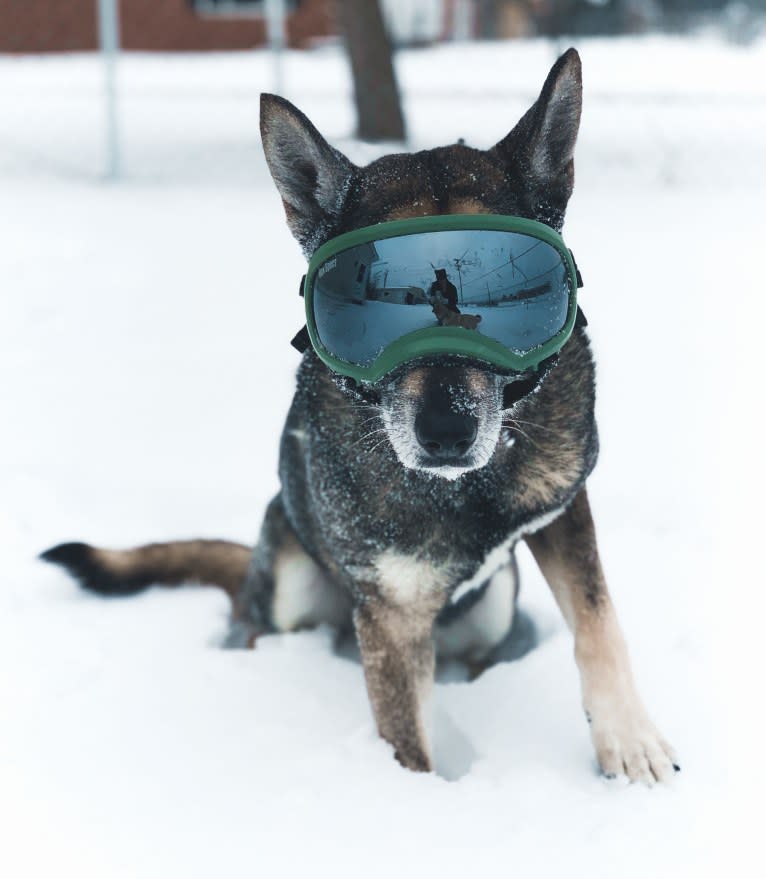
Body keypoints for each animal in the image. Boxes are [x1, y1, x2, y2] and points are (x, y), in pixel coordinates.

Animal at [42, 49, 680, 784]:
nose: (446, 431)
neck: (462, 491)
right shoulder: (390, 620)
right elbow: (411, 748)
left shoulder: (562, 505)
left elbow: (599, 623)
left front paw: (630, 740)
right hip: (291, 582)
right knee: (254, 621)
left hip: (494, 605)